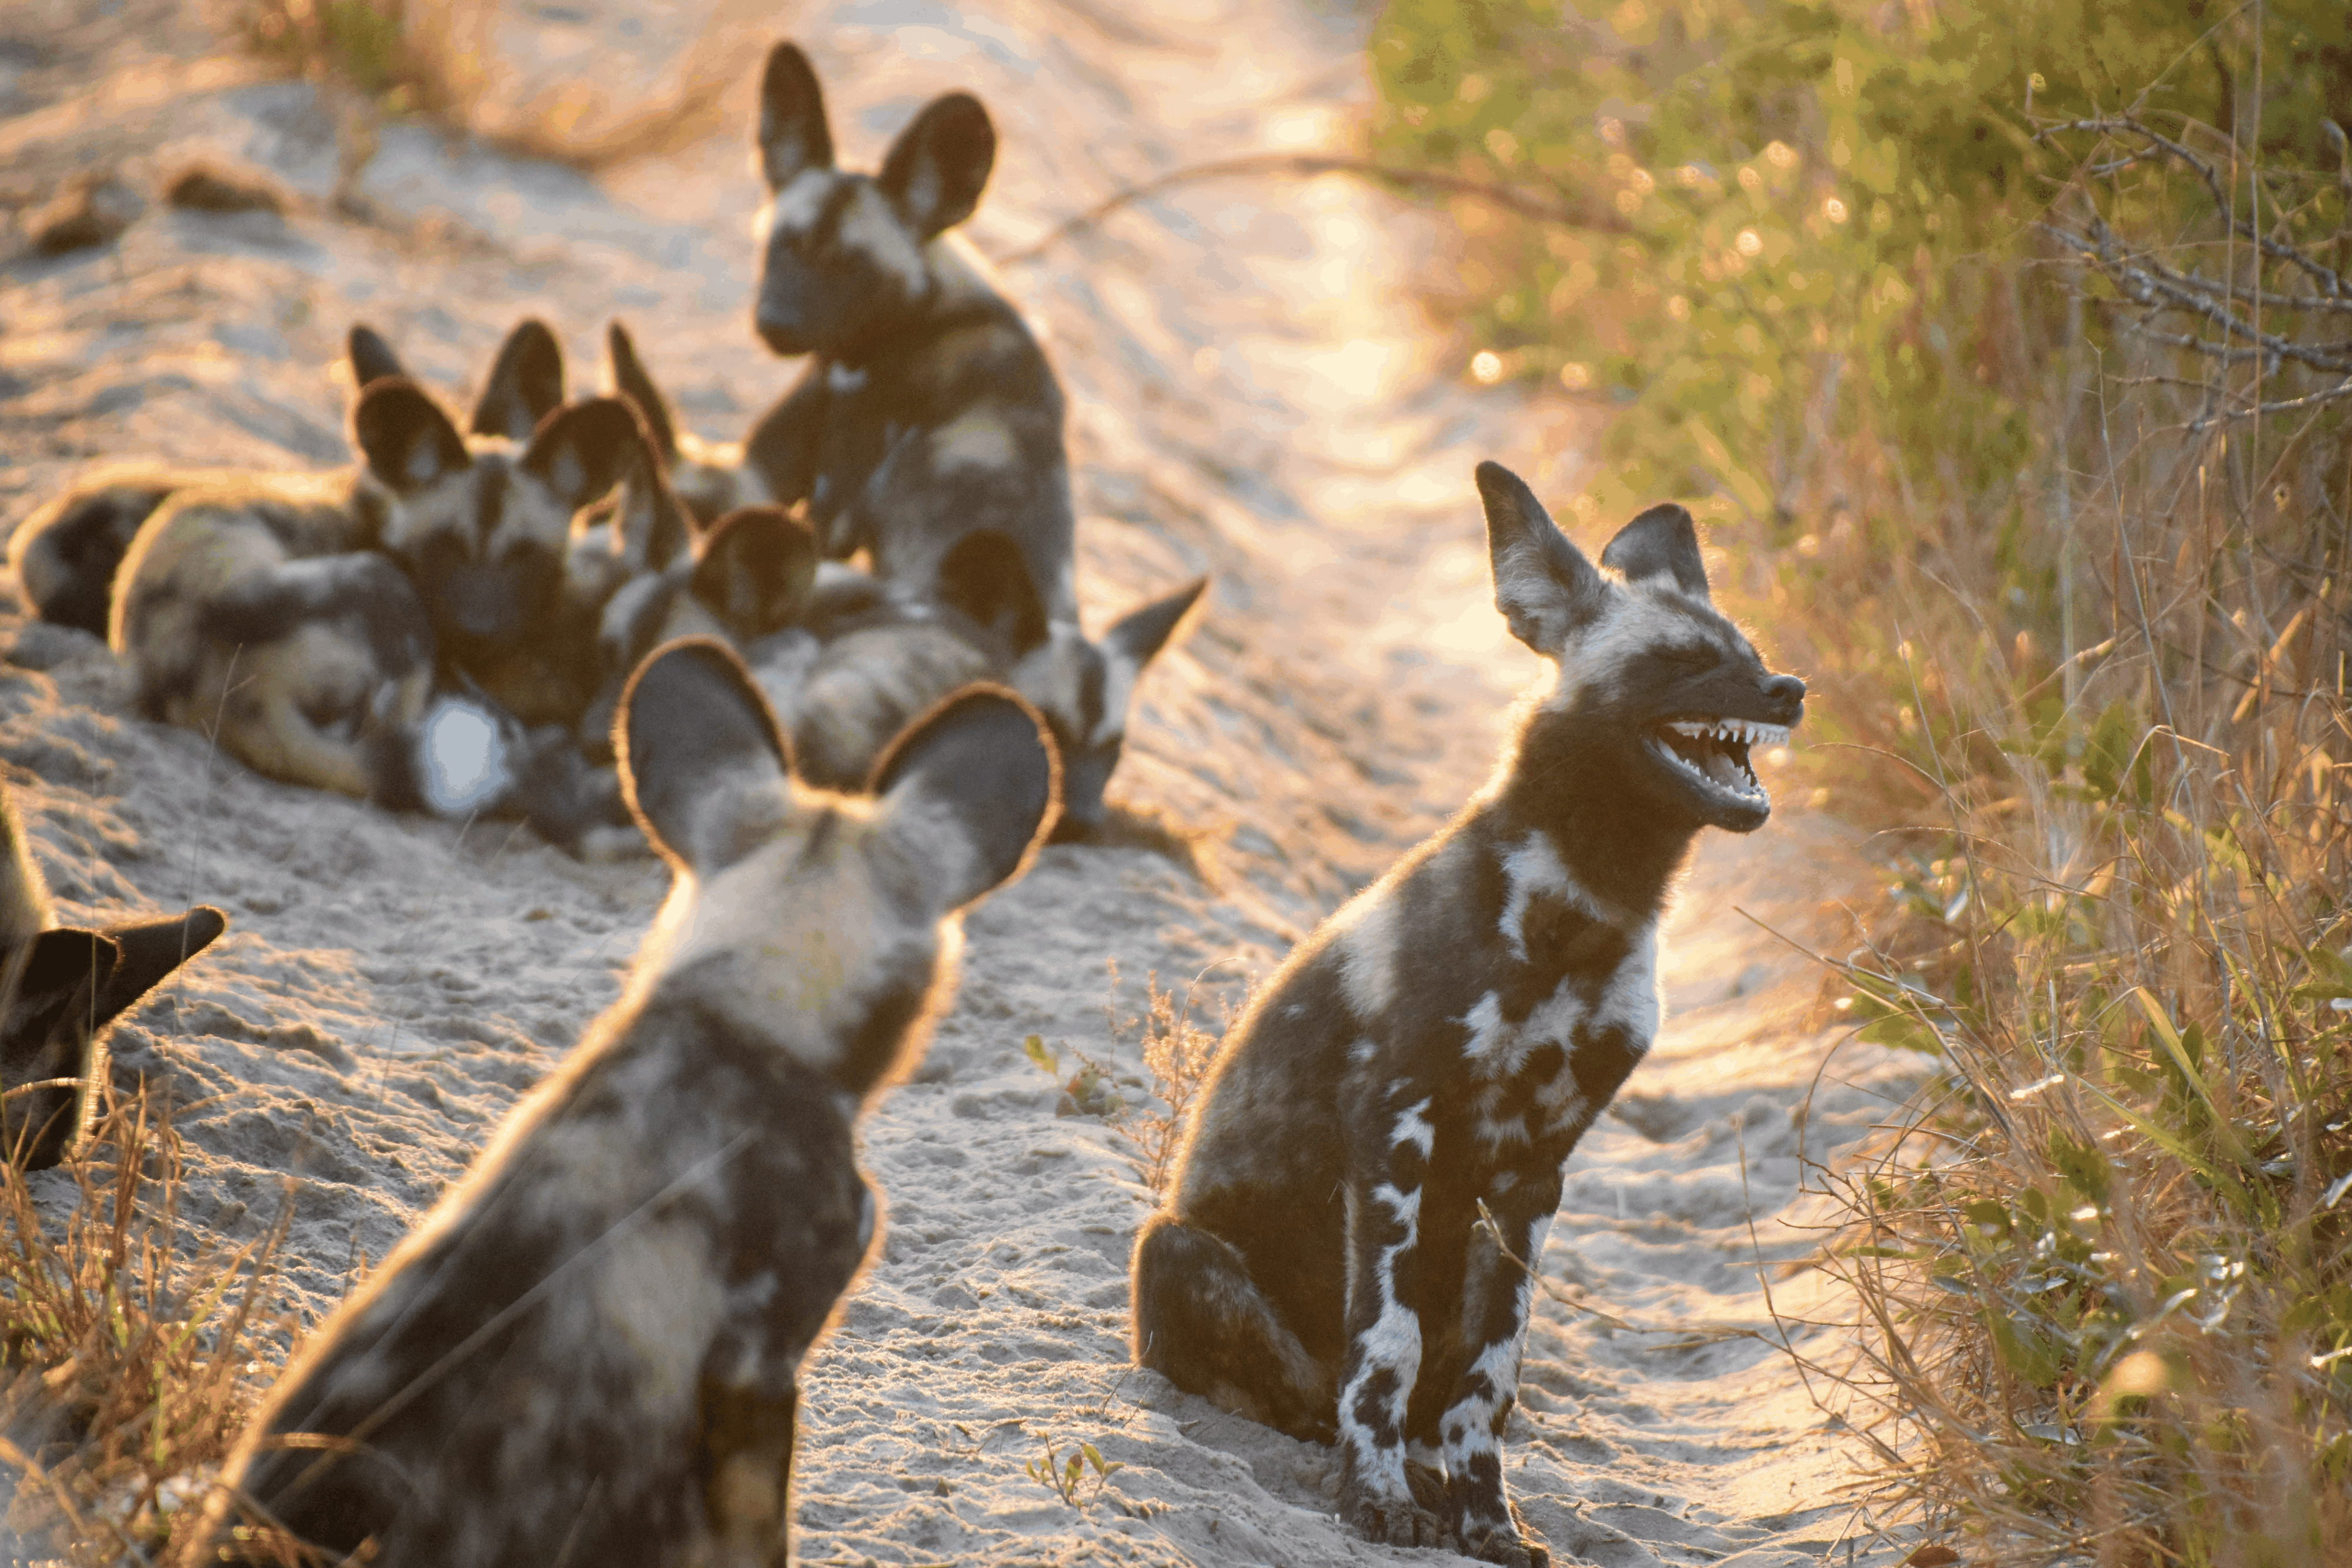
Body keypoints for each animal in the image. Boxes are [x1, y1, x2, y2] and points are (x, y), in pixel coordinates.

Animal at [1129, 463, 1806, 1568]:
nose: (1790, 689)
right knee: (1316, 1393)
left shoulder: (1531, 1175)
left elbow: (1490, 1380)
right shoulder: (1395, 1131)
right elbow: (1385, 1349)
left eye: (1749, 655)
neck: (1590, 902)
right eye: (1679, 661)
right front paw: (1378, 1503)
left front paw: (1485, 1517)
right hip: (1176, 1249)